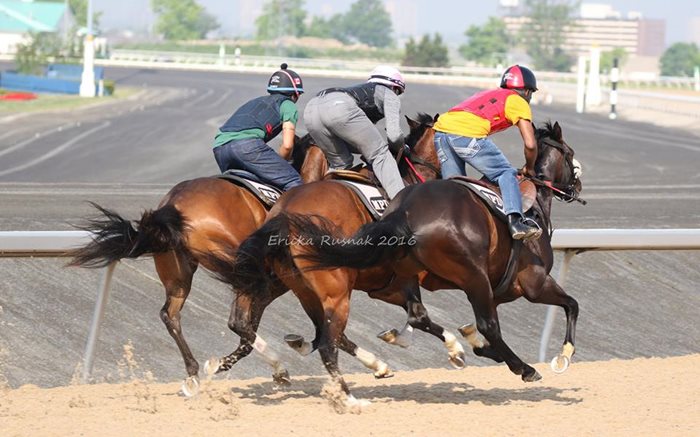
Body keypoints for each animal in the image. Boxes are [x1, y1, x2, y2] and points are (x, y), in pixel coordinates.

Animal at [67, 135, 328, 394]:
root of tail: (172, 205)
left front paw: (221, 364)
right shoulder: (274, 284)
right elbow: (252, 327)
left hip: (178, 275)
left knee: (170, 315)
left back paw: (193, 374)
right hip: (241, 271)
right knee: (236, 321)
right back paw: (276, 365)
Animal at [205, 113, 468, 408]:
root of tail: (284, 214)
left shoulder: (383, 285)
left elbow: (414, 316)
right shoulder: (404, 277)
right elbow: (419, 315)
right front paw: (455, 348)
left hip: (303, 291)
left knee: (279, 328)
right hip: (335, 293)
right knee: (325, 344)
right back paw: (350, 398)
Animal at [286, 120, 584, 388]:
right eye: (570, 154)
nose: (577, 187)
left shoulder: (390, 285)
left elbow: (431, 322)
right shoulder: (533, 283)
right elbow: (571, 304)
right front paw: (563, 356)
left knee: (336, 331)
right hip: (470, 277)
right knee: (487, 325)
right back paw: (524, 368)